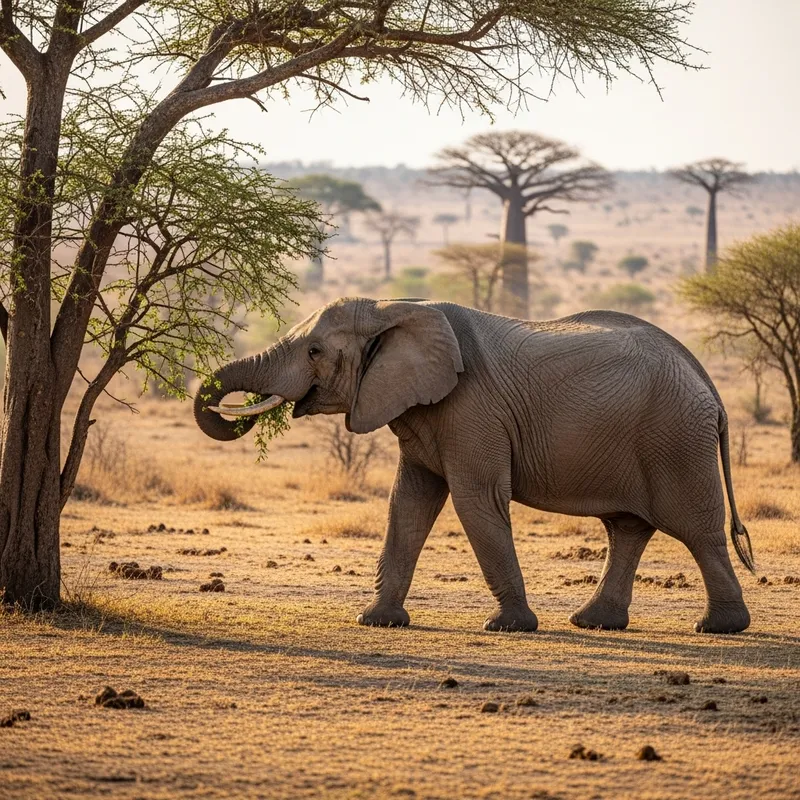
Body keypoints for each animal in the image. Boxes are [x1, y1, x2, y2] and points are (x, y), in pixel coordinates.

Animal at [194, 298, 755, 634]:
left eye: (314, 351)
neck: (391, 308)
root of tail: (709, 385)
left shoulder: (471, 409)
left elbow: (475, 500)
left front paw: (508, 627)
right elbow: (408, 503)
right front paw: (376, 621)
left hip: (676, 438)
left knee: (696, 530)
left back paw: (719, 628)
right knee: (627, 528)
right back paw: (593, 622)